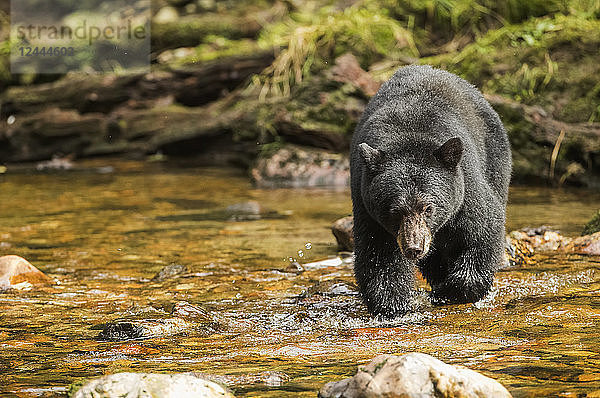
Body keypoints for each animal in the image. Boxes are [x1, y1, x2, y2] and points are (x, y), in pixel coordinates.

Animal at [352, 65, 510, 318]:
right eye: (394, 211)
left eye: (428, 208)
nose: (414, 248)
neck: (408, 137)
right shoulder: (367, 205)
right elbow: (378, 256)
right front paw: (394, 305)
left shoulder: (465, 190)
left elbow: (482, 230)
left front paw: (451, 290)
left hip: (494, 156)